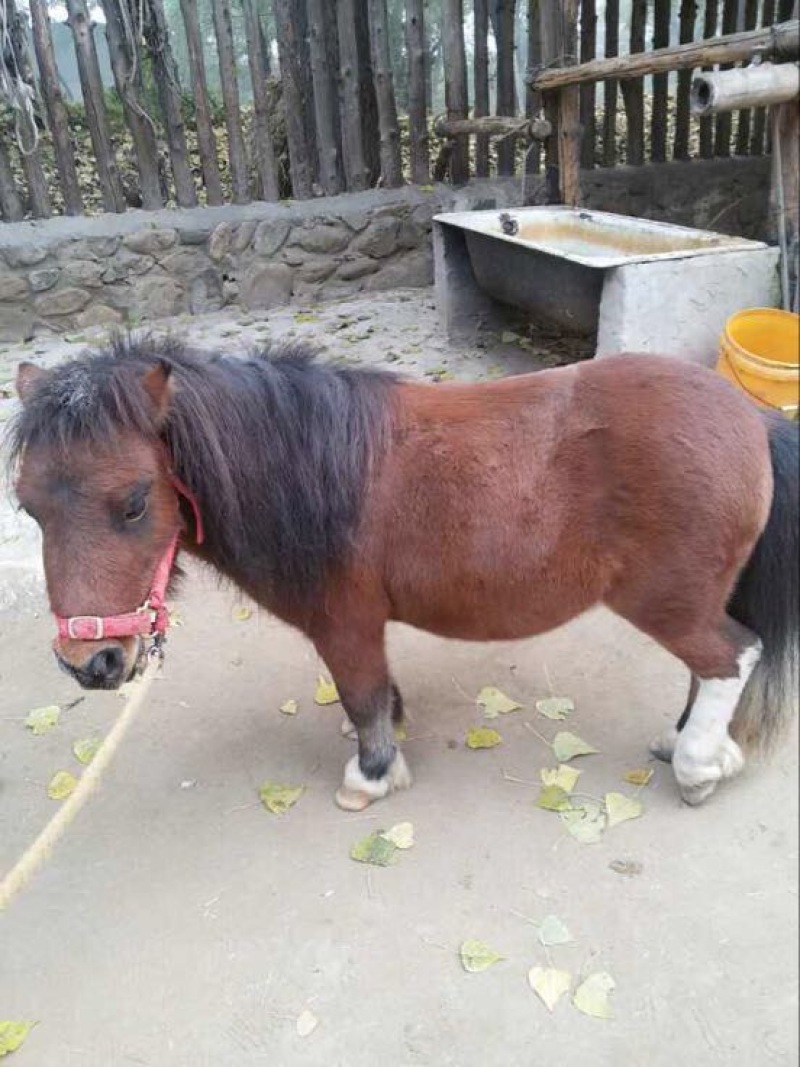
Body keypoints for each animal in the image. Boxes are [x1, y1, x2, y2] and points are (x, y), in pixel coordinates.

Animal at [10, 336, 798, 812]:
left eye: (135, 500)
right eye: (27, 506)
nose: (91, 663)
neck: (309, 470)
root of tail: (752, 419)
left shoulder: (344, 625)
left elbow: (360, 695)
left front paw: (371, 776)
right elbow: (375, 693)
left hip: (666, 601)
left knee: (730, 657)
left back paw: (698, 765)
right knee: (709, 665)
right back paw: (687, 743)